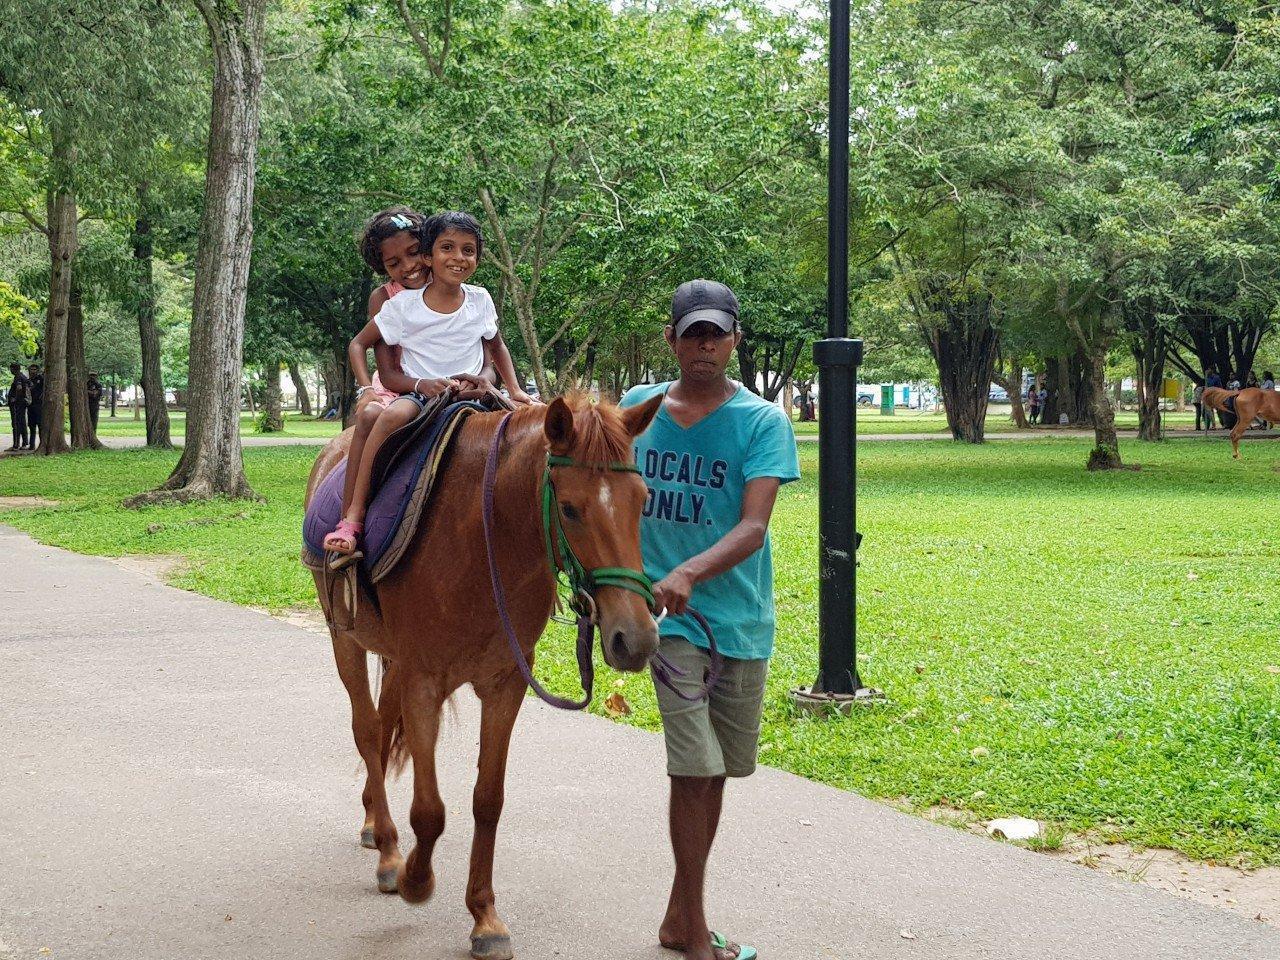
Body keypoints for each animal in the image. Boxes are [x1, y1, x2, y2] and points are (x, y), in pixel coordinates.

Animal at [300, 394, 660, 957]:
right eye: (569, 508)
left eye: (642, 501)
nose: (635, 637)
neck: (484, 535)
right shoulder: (423, 679)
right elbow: (429, 810)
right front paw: (415, 879)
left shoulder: (505, 684)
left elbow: (488, 800)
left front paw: (485, 916)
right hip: (346, 639)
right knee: (365, 730)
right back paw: (389, 850)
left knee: (379, 732)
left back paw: (373, 824)